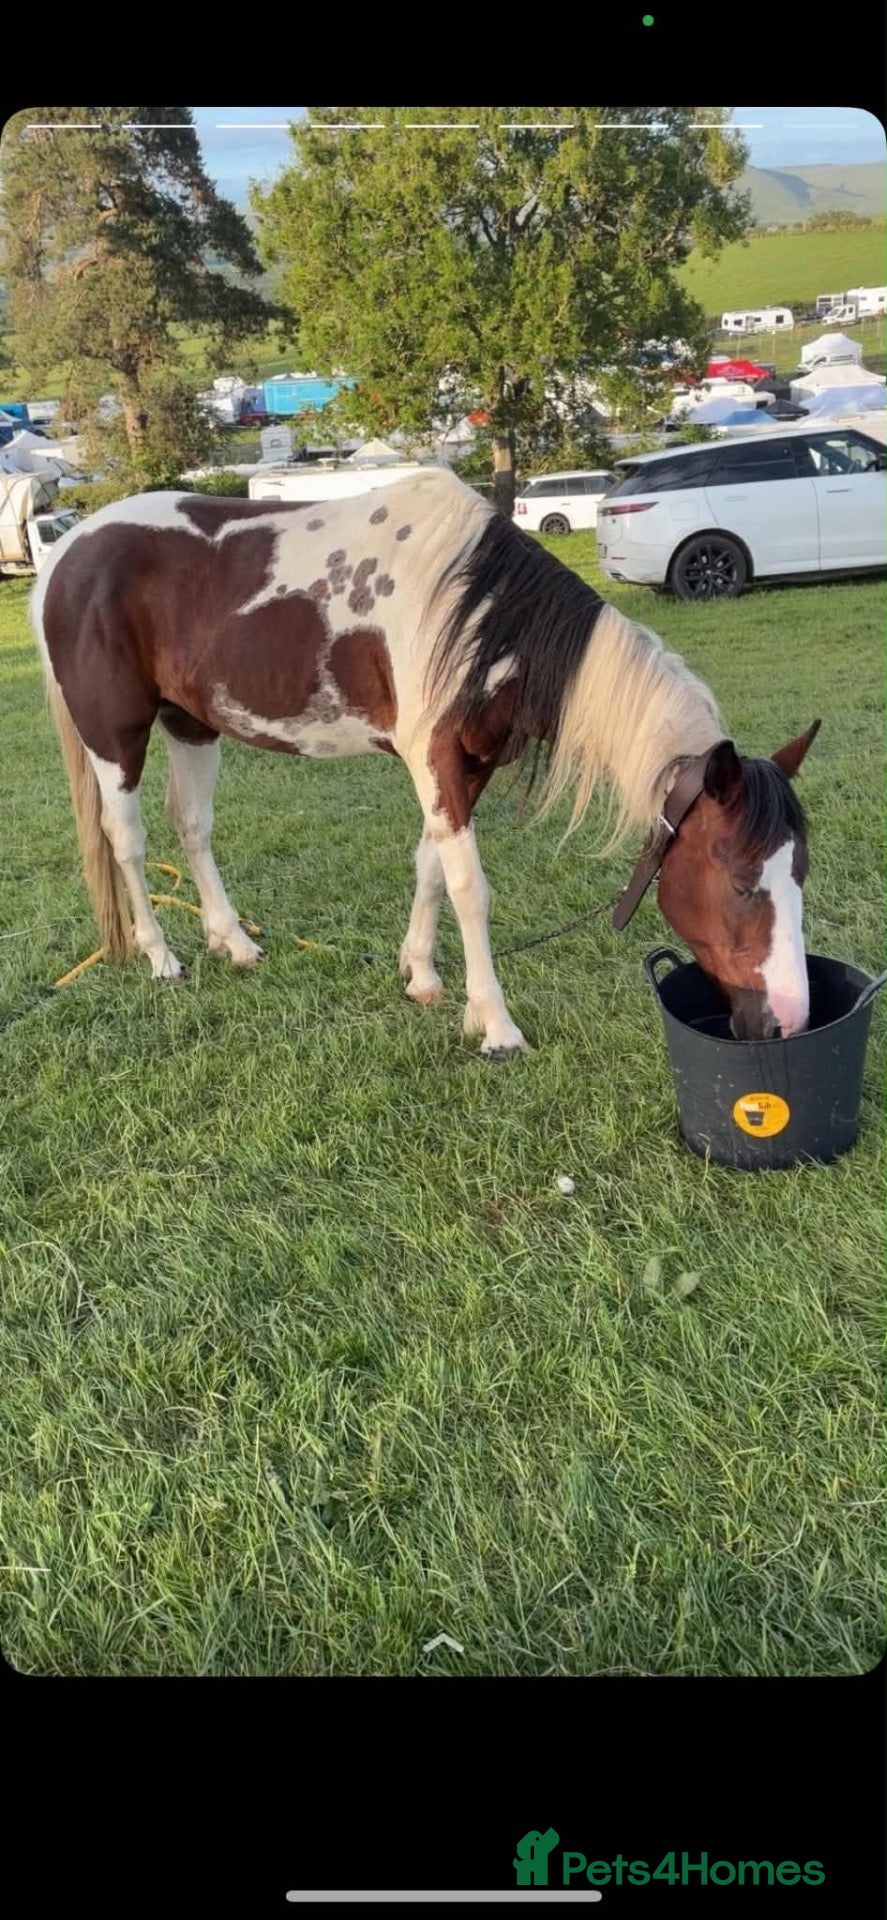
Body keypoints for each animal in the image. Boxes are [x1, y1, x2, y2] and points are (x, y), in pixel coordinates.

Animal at [30, 467, 820, 1056]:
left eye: (800, 871)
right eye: (742, 883)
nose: (788, 1020)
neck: (482, 610)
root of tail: (64, 556)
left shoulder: (469, 765)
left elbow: (431, 865)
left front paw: (423, 979)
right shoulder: (433, 757)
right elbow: (470, 887)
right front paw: (494, 1024)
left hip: (191, 724)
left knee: (191, 826)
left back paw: (234, 942)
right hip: (116, 737)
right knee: (127, 842)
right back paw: (162, 957)